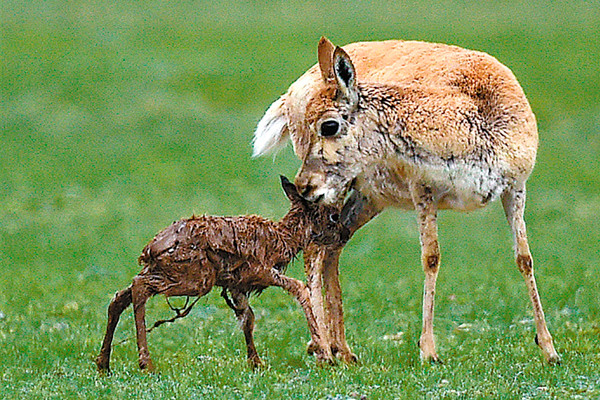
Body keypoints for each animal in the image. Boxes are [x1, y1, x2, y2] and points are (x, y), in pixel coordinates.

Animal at [94, 176, 346, 372]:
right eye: (333, 216)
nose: (343, 235)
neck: (282, 238)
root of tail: (150, 250)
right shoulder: (259, 271)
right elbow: (299, 288)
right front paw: (325, 356)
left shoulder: (236, 285)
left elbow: (247, 318)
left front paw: (256, 362)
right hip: (194, 277)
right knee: (139, 287)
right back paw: (145, 363)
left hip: (169, 272)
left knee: (119, 298)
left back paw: (103, 363)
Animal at [252, 38, 556, 366]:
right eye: (310, 126)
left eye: (328, 126)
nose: (303, 185)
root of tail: (291, 92)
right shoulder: (422, 188)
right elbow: (431, 257)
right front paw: (429, 351)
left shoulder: (516, 187)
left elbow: (524, 258)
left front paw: (549, 349)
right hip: (341, 191)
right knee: (314, 249)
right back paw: (324, 351)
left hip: (367, 197)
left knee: (332, 247)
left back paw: (341, 349)